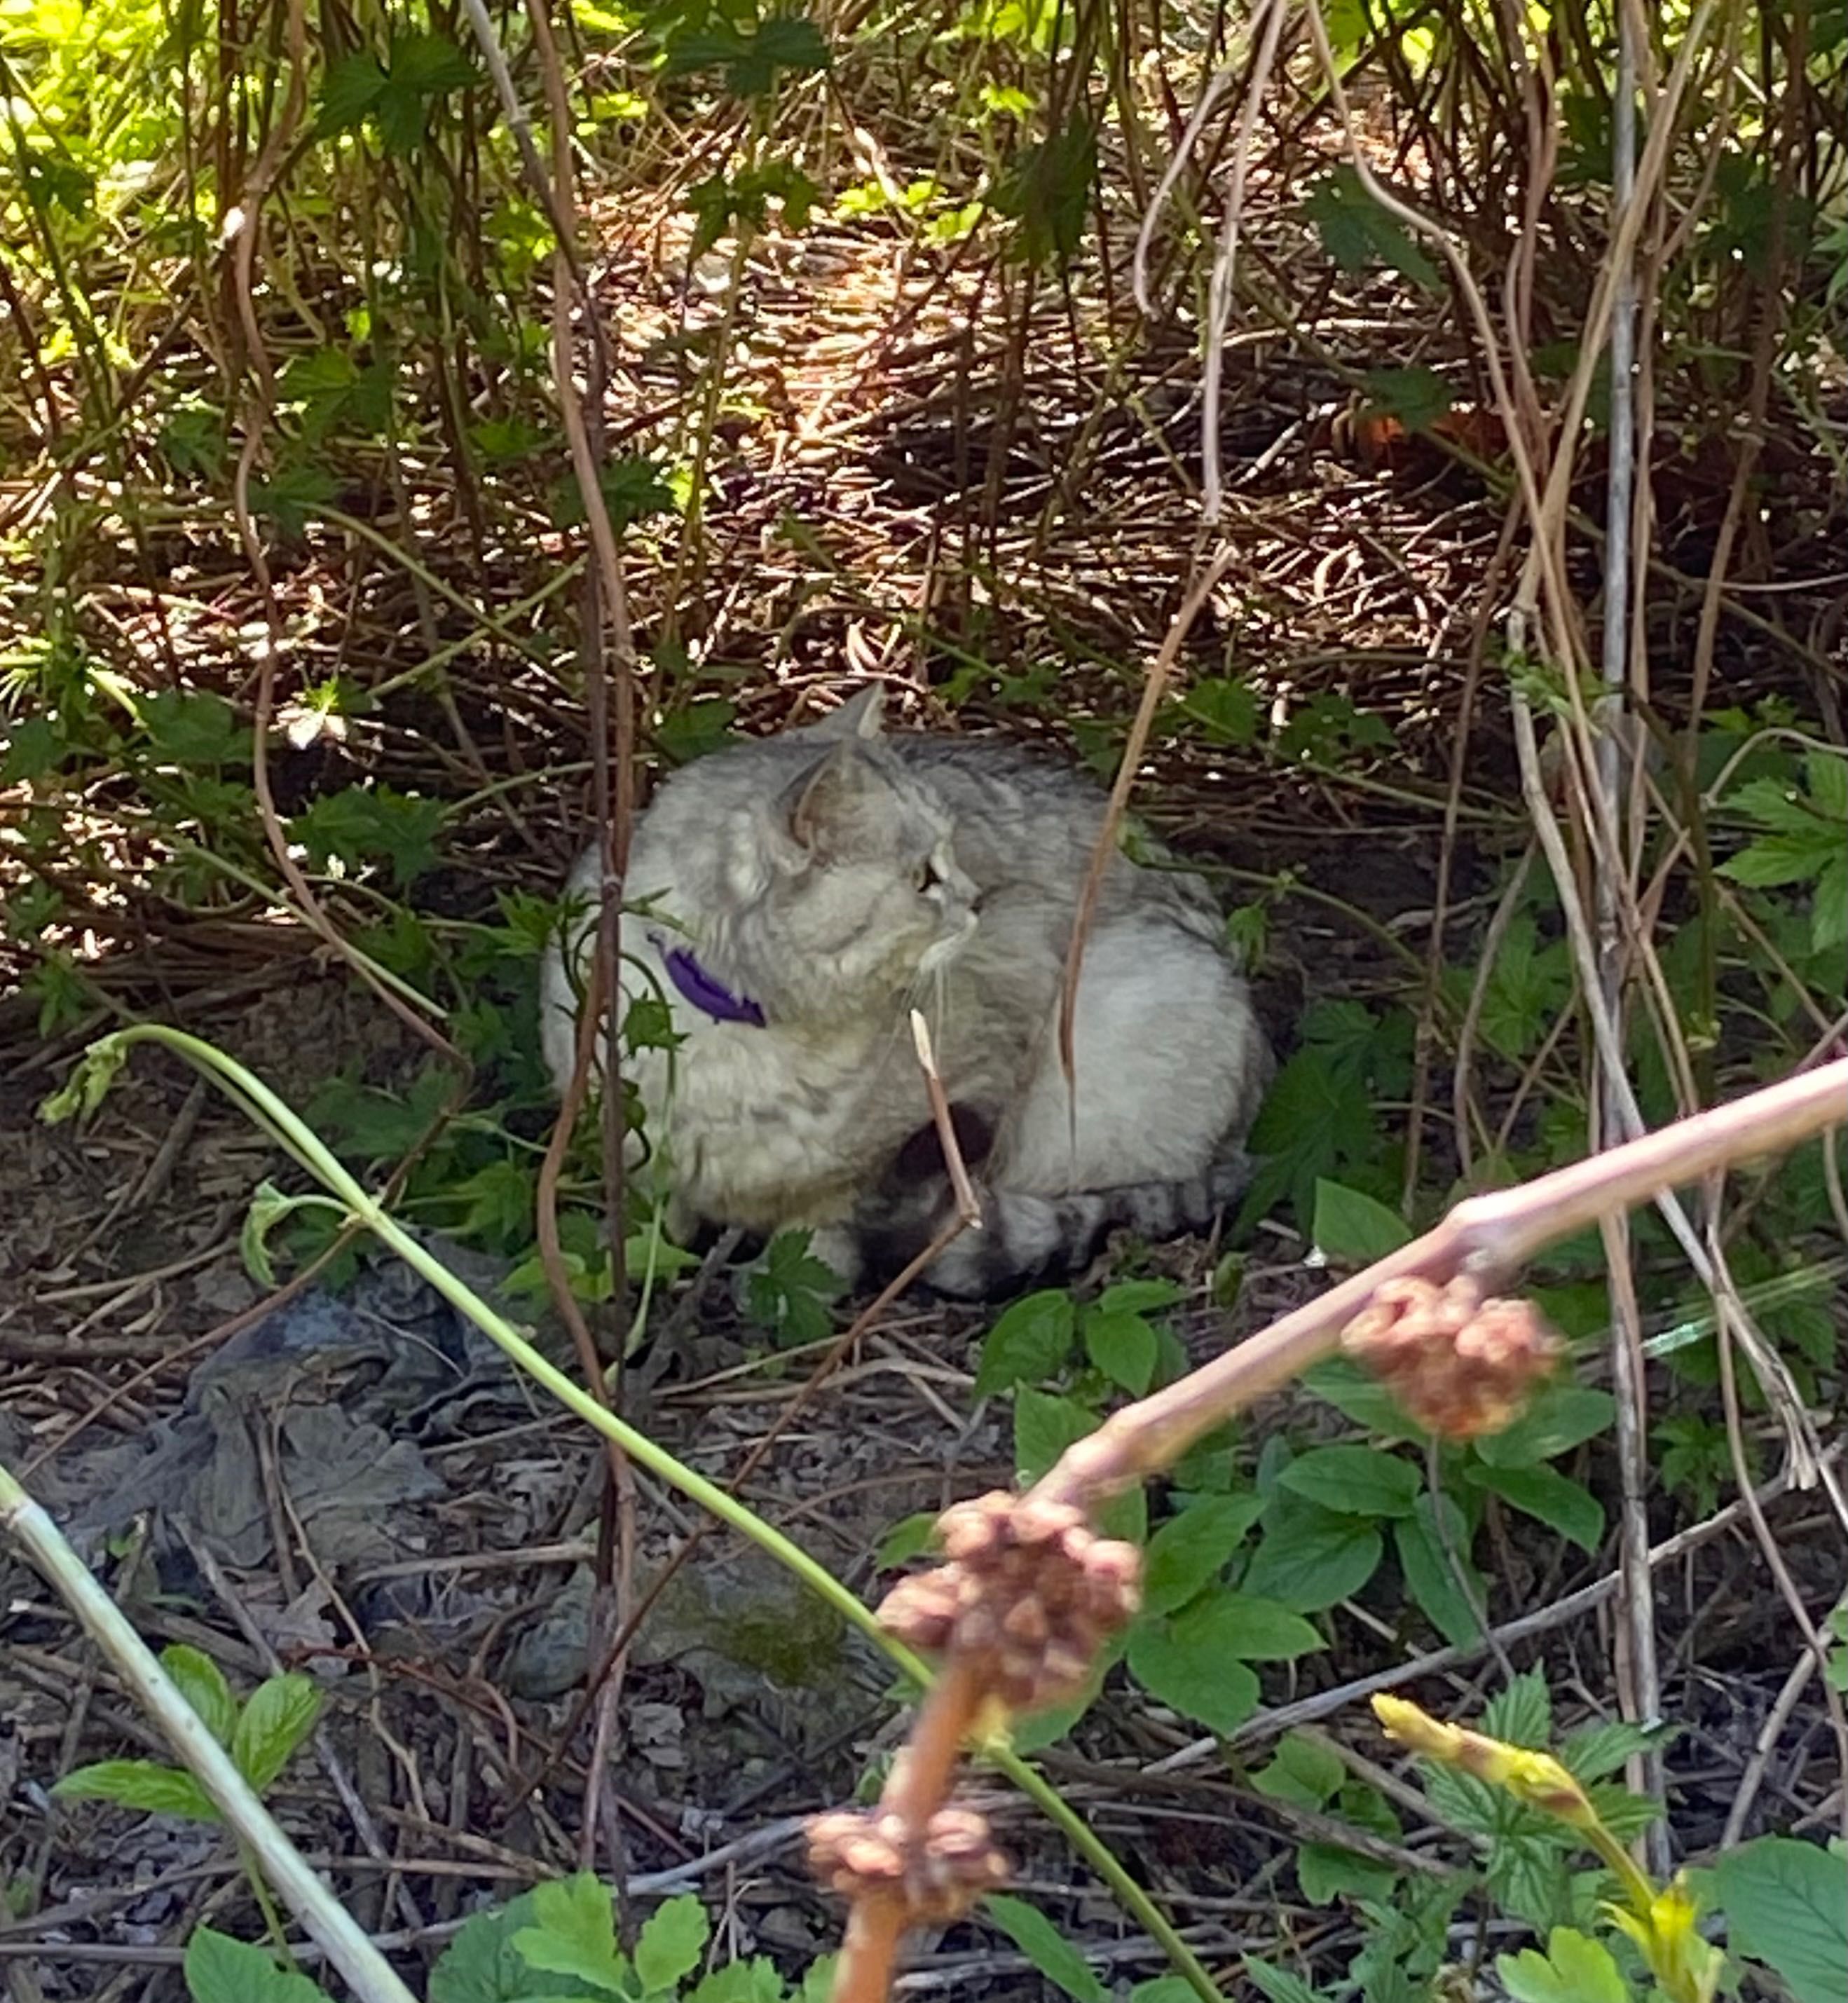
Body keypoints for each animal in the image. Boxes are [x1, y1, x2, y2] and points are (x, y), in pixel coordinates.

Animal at [540, 689, 1281, 1297]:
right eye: (924, 877)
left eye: (955, 852)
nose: (978, 898)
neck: (738, 1036)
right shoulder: (634, 1141)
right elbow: (649, 1216)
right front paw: (624, 1262)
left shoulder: (967, 1081)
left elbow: (829, 1220)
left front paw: (798, 1278)